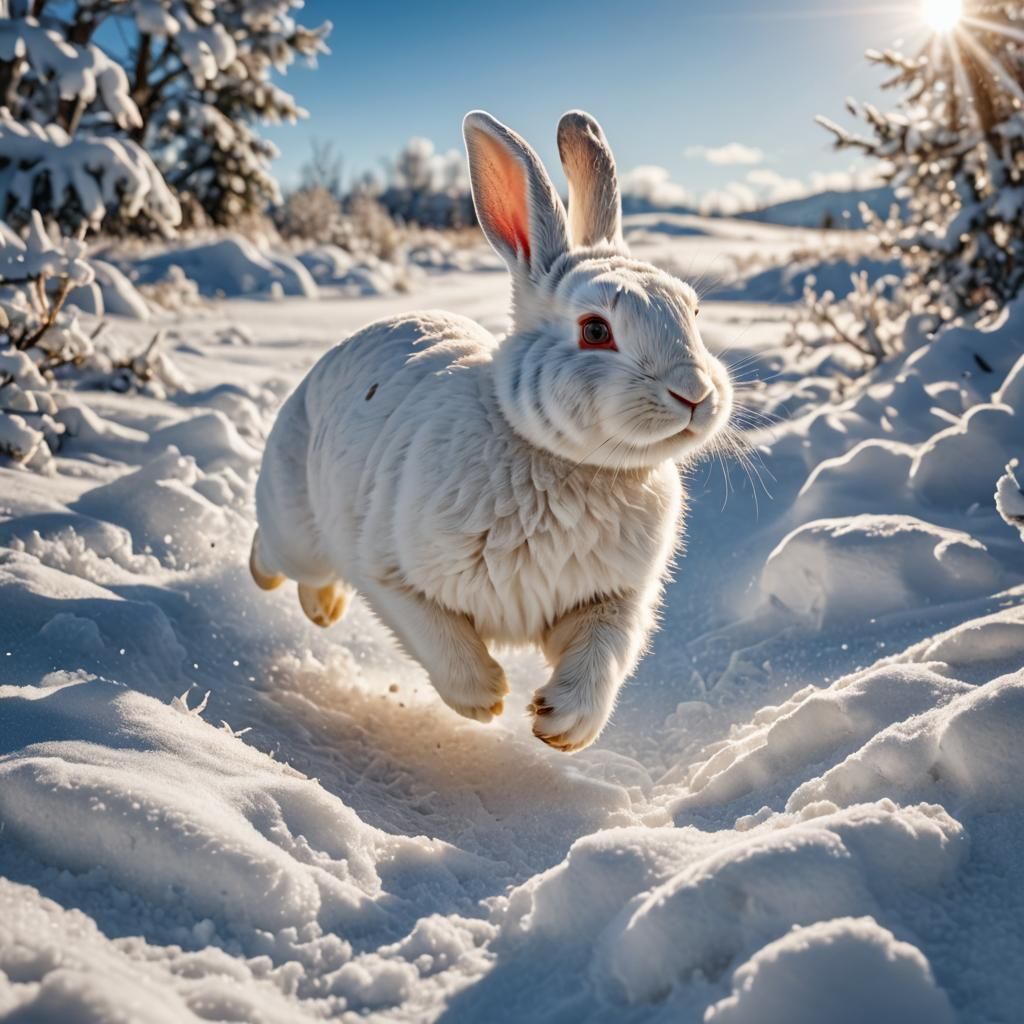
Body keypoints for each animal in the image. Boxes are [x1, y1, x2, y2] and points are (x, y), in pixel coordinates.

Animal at [251, 109, 733, 752]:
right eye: (596, 330)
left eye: (693, 312)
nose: (696, 395)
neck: (567, 460)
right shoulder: (392, 573)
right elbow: (439, 638)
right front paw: (487, 700)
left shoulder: (614, 599)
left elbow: (602, 656)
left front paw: (561, 725)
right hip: (298, 522)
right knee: (281, 554)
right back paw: (299, 595)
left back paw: (324, 610)